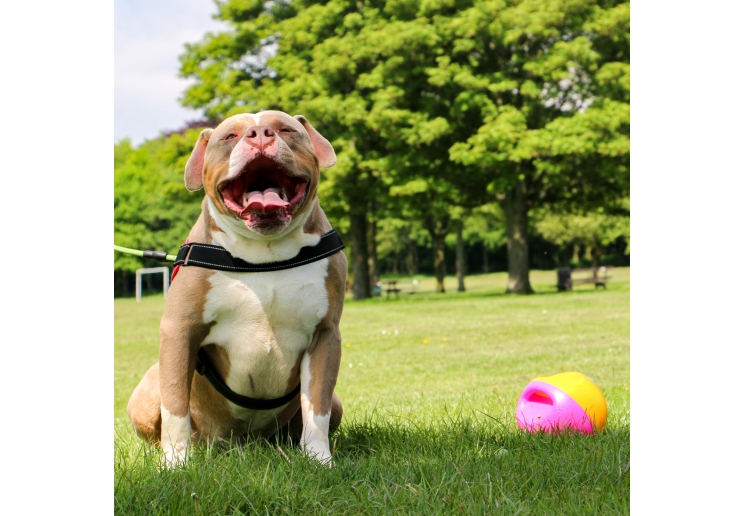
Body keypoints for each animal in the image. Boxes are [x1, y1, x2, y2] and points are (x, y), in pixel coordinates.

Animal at [127, 112, 346, 468]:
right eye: (229, 136)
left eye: (286, 129)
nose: (259, 133)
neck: (264, 256)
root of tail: (241, 442)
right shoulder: (179, 331)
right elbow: (175, 407)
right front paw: (174, 465)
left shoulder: (325, 334)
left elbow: (317, 408)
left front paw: (318, 459)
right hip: (146, 393)